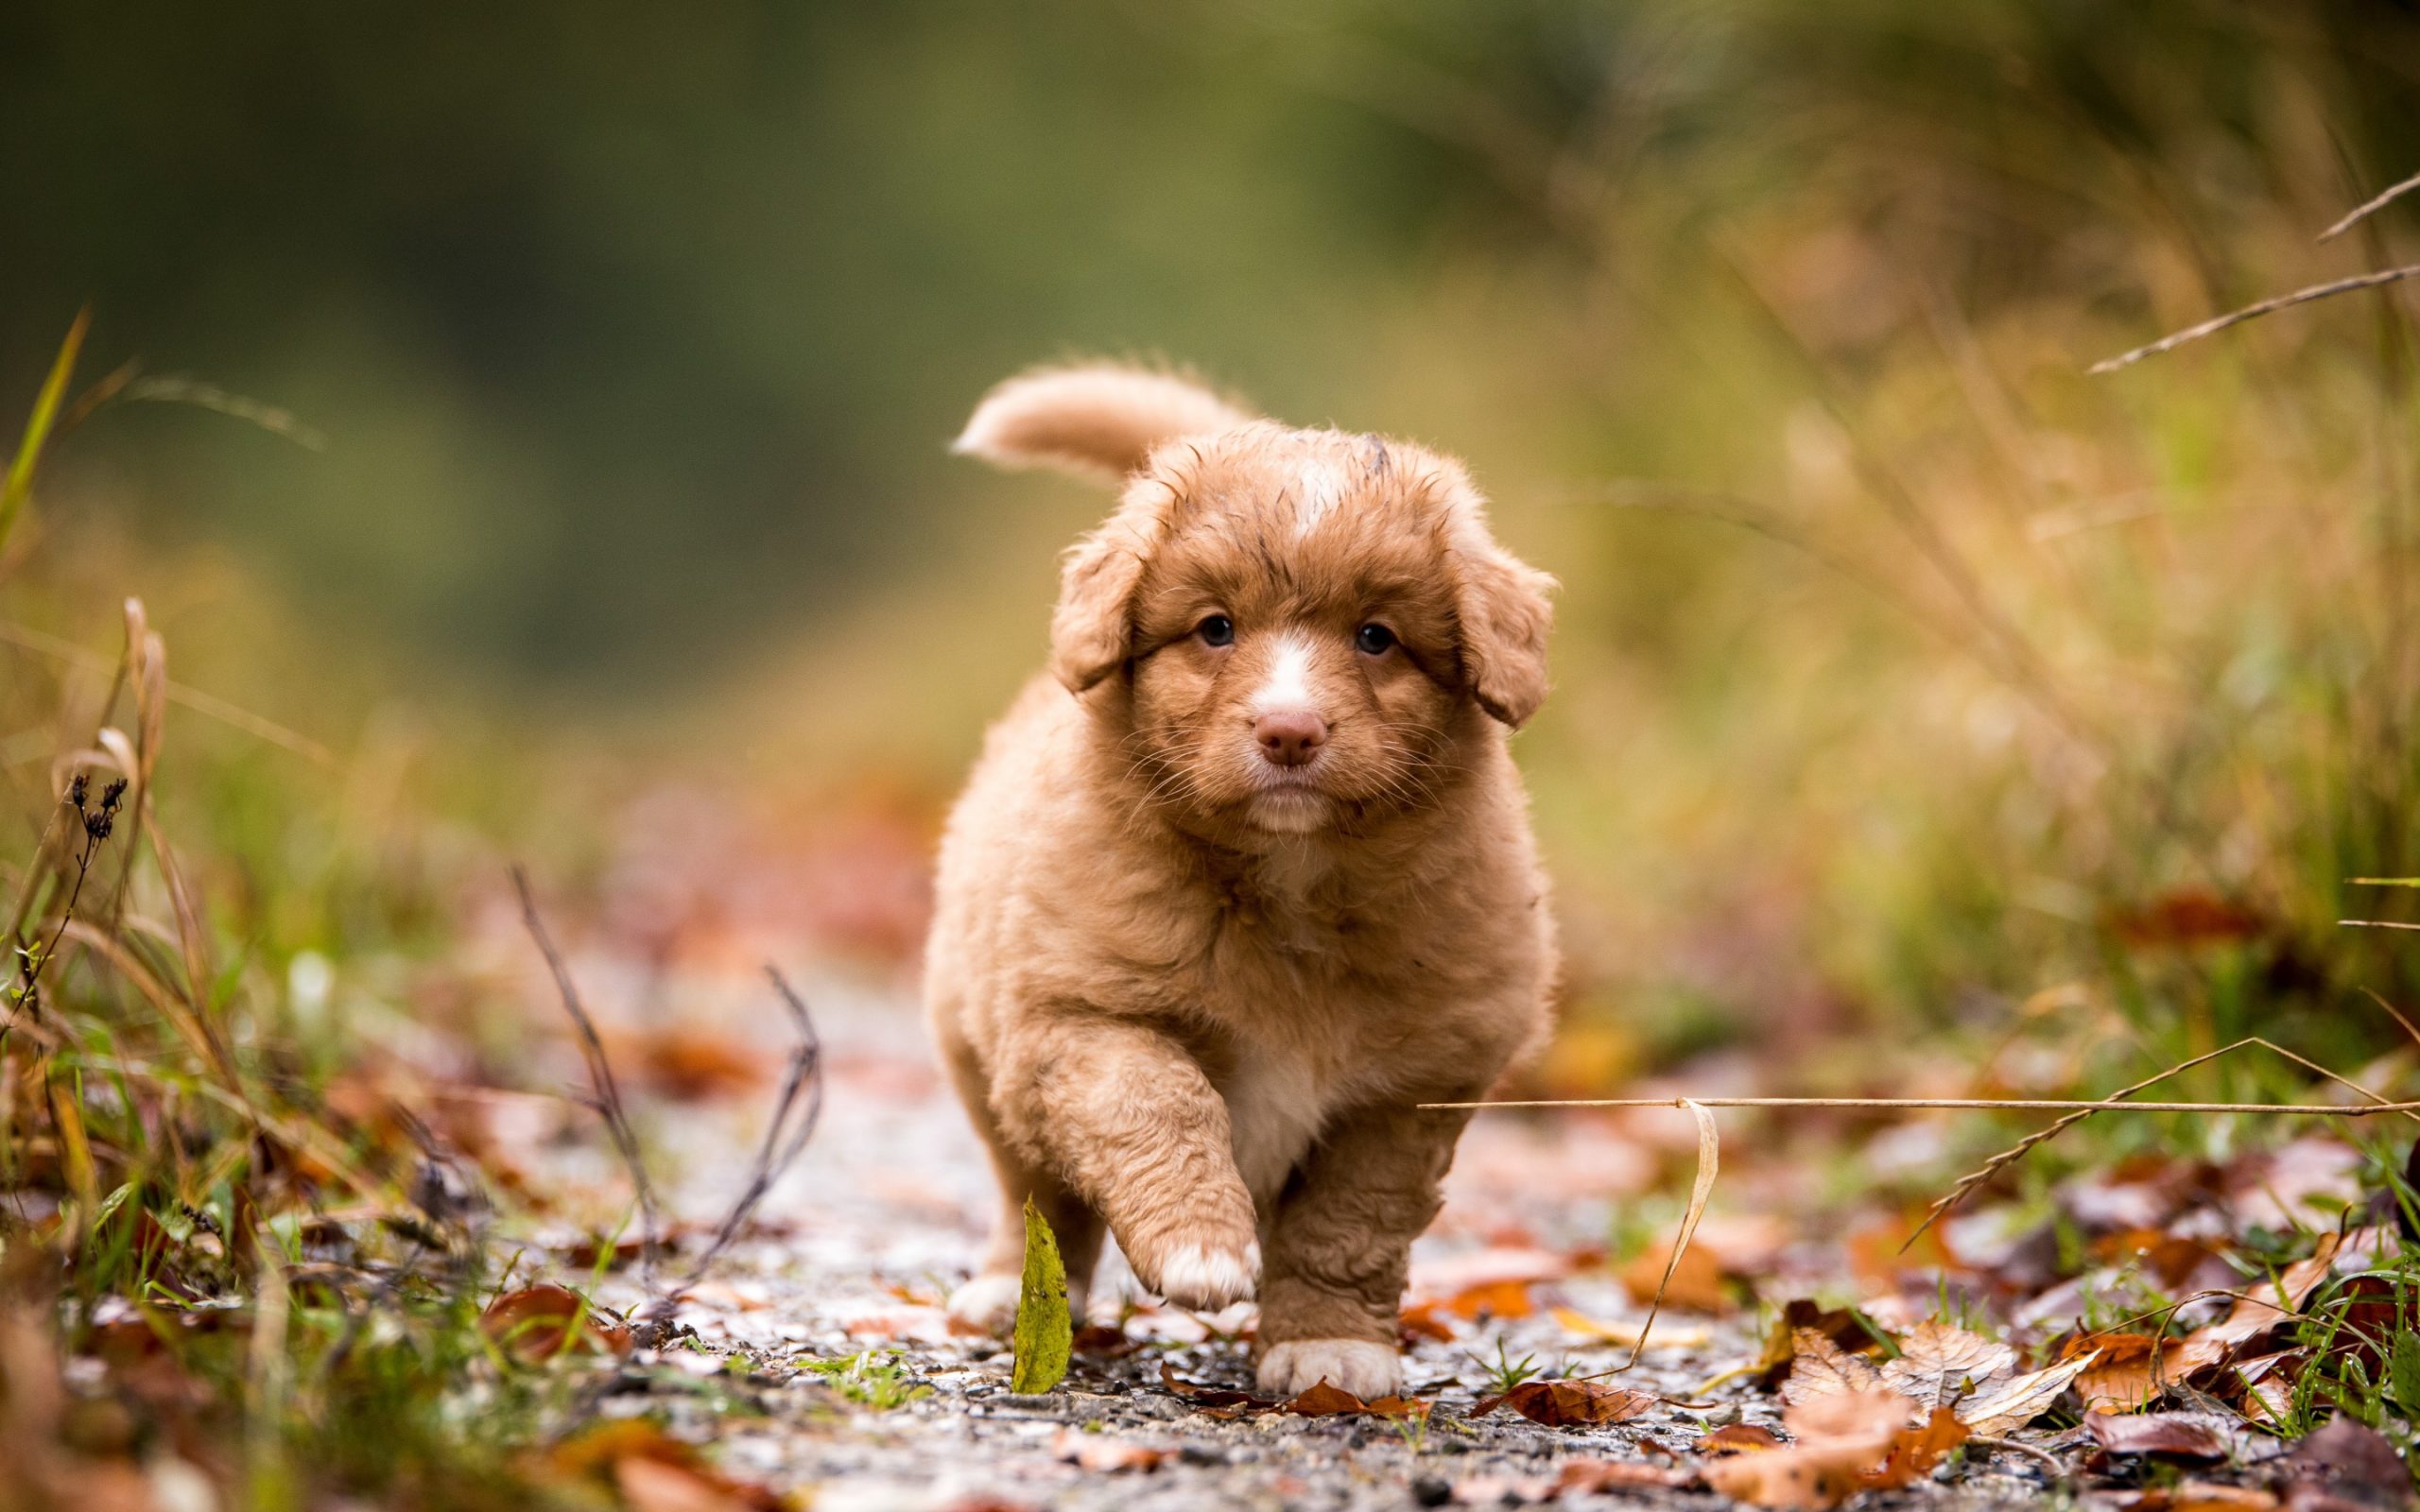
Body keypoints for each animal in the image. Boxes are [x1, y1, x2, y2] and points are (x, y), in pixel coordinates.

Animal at [914, 360, 1558, 1393]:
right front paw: (1200, 1246)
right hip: (979, 1054)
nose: (1289, 731)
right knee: (1034, 1191)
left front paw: (1329, 1347)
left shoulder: (1413, 1083)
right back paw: (1008, 1298)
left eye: (1376, 637)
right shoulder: (1077, 1015)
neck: (1290, 883)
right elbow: (1157, 1104)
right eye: (1214, 629)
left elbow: (1351, 1220)